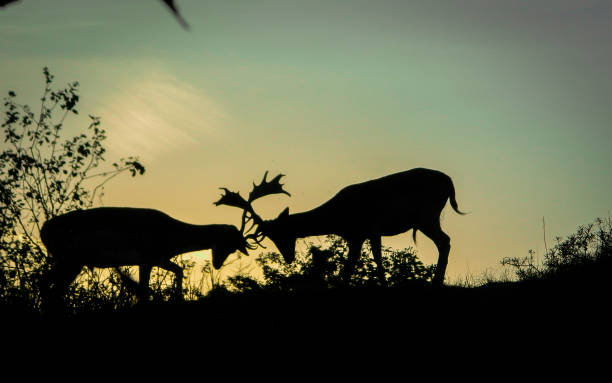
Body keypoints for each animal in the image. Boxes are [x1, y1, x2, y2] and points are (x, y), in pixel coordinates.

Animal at [40, 207, 249, 304]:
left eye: (233, 248)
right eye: (227, 243)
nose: (217, 264)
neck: (172, 232)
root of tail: (44, 229)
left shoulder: (160, 260)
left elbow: (179, 270)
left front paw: (179, 296)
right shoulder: (147, 260)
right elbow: (144, 291)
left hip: (70, 262)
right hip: (70, 261)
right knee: (46, 283)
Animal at [218, 170, 466, 286]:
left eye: (284, 232)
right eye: (271, 237)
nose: (288, 257)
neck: (337, 217)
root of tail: (449, 181)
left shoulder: (371, 228)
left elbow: (376, 259)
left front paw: (383, 283)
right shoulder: (355, 236)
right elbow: (349, 266)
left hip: (427, 215)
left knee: (445, 241)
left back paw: (436, 281)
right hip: (427, 218)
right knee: (445, 241)